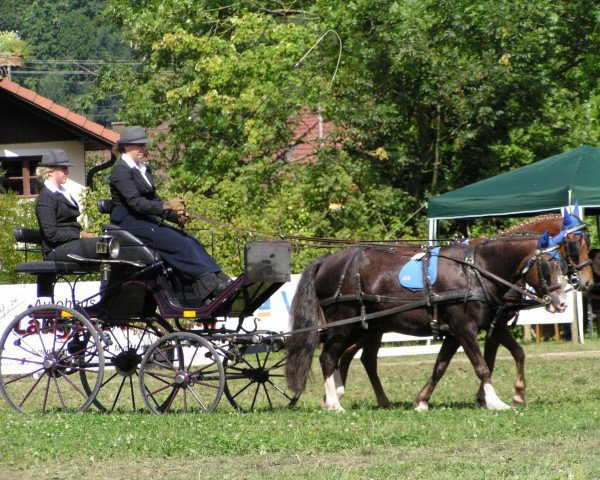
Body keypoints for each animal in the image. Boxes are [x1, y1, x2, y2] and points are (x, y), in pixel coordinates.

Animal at [286, 232, 568, 408]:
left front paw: (422, 400)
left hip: (364, 327)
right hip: (344, 325)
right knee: (328, 358)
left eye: (562, 263)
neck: (475, 270)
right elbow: (481, 365)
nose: (562, 302)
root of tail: (327, 260)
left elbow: (440, 367)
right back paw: (334, 403)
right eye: (547, 265)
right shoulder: (465, 328)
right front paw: (495, 401)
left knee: (353, 359)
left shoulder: (455, 333)